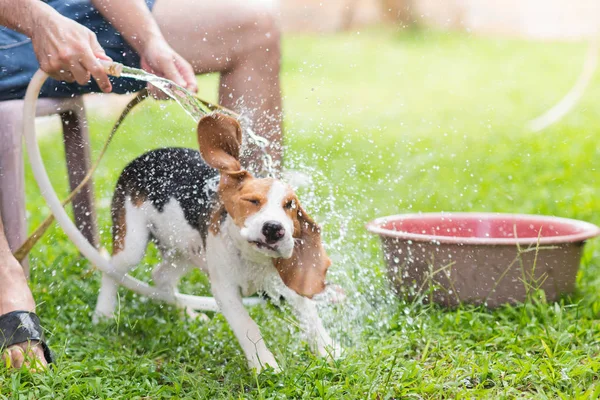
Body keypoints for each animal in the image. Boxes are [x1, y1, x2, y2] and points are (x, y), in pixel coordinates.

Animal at [92, 112, 338, 372]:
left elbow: (310, 313)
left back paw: (187, 314)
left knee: (161, 275)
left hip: (188, 250)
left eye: (290, 205)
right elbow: (248, 325)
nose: (274, 228)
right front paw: (264, 365)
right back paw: (103, 313)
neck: (251, 258)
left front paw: (328, 350)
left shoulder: (286, 283)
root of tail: (142, 157)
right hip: (133, 243)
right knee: (111, 270)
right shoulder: (225, 290)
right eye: (251, 200)